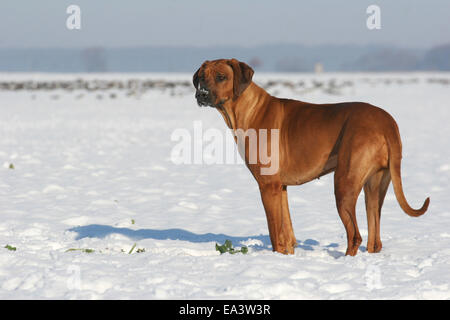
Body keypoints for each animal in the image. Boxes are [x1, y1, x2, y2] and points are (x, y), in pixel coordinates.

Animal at [192, 58, 428, 256]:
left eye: (221, 77)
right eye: (202, 77)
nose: (200, 94)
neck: (248, 109)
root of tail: (387, 121)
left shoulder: (267, 186)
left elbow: (274, 233)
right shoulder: (280, 187)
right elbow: (287, 233)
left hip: (344, 184)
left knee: (355, 235)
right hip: (374, 186)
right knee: (374, 237)